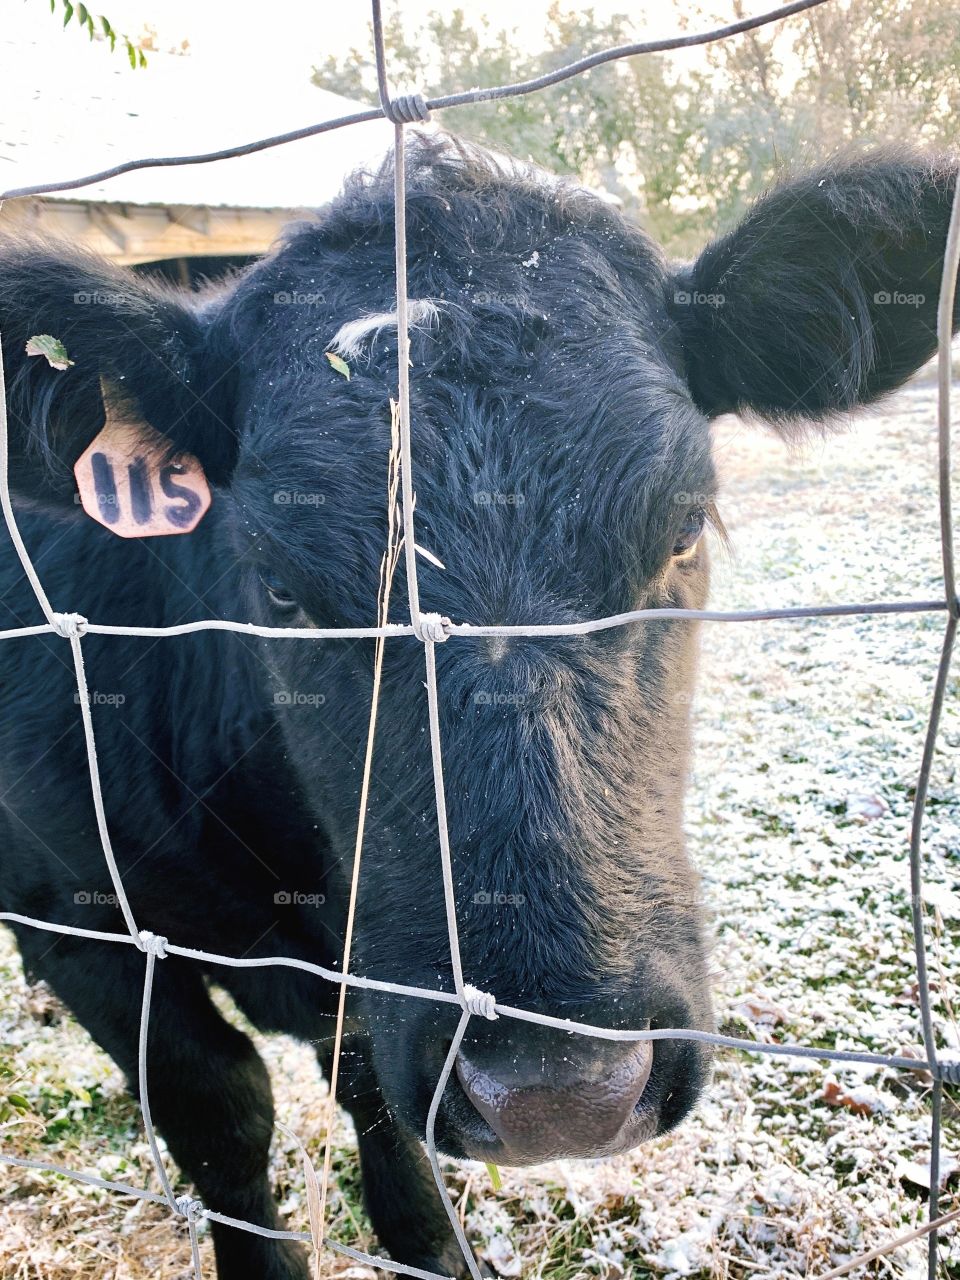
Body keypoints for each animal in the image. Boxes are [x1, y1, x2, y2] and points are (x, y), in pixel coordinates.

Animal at [0, 136, 956, 1280]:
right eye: (277, 582)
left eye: (683, 528)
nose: (560, 1094)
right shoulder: (72, 914)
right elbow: (222, 1112)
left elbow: (365, 1081)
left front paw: (430, 1243)